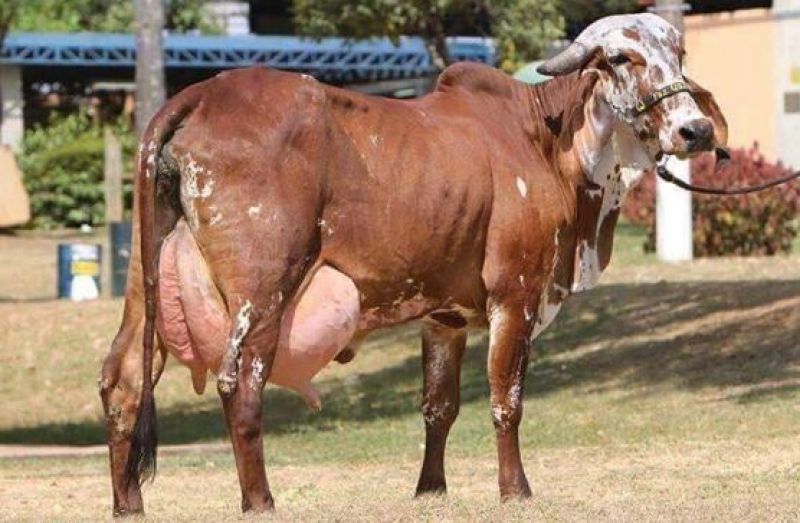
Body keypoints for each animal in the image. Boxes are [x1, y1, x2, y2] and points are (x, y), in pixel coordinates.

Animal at [99, 13, 727, 515]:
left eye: (679, 54)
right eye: (621, 58)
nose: (694, 129)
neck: (546, 140)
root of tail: (201, 95)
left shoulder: (443, 319)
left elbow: (438, 407)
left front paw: (431, 489)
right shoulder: (517, 297)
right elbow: (506, 402)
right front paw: (515, 489)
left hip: (144, 279)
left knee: (123, 379)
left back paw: (128, 504)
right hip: (264, 289)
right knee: (240, 382)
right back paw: (260, 501)